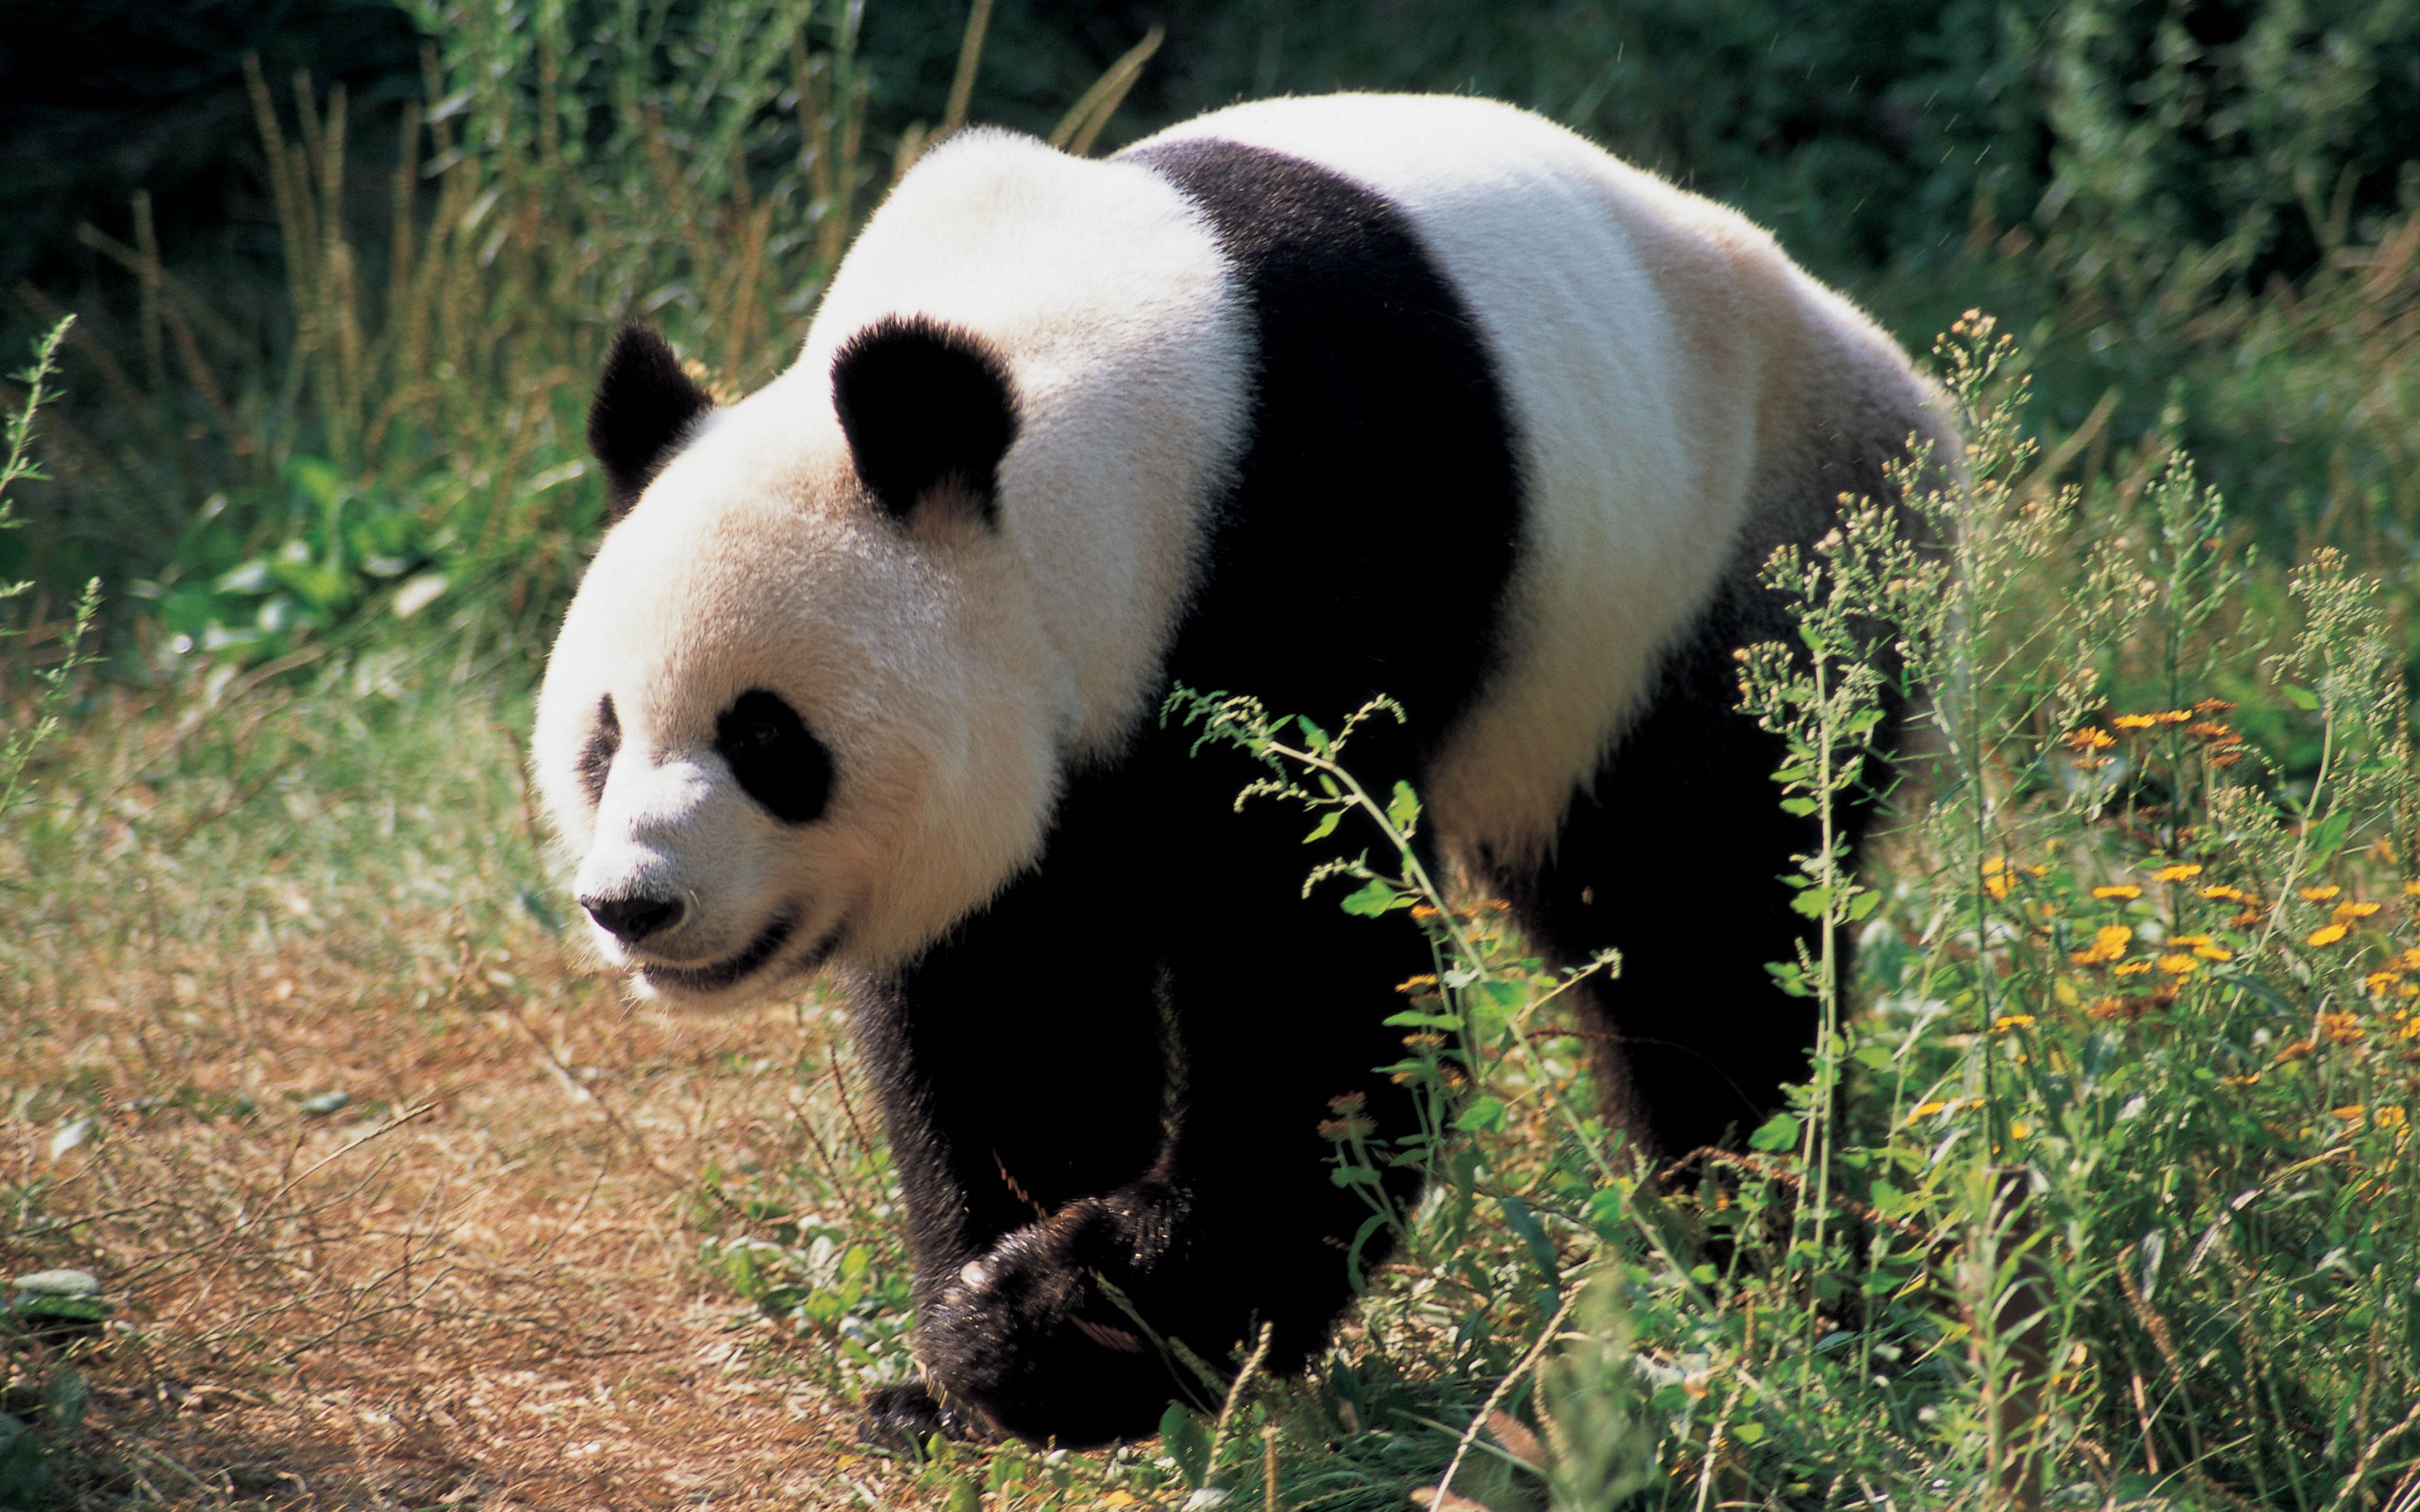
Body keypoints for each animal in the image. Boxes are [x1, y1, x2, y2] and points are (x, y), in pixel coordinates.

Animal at [532, 92, 1954, 1447]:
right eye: (604, 737)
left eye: (767, 738)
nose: (635, 904)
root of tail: (1914, 392)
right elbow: (1008, 1006)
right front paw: (960, 1370)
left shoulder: (1296, 541)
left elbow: (1329, 997)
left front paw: (1055, 1325)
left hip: (1718, 585)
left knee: (1705, 934)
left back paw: (1771, 1274)